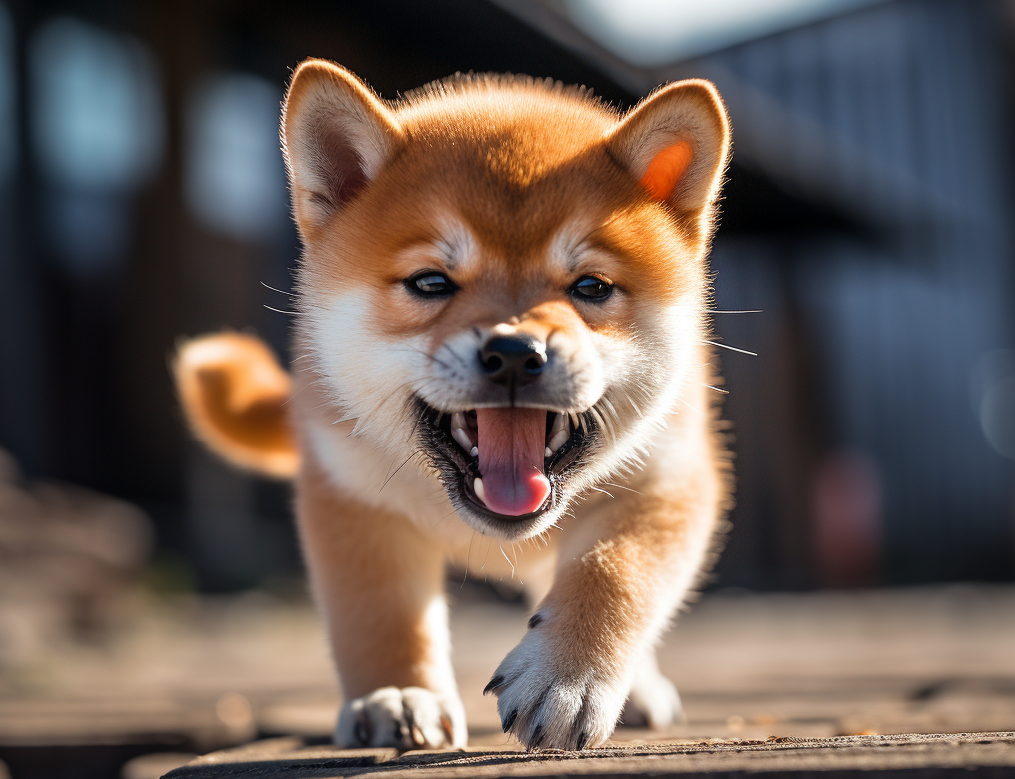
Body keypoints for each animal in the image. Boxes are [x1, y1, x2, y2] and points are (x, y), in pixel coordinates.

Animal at [174, 57, 730, 751]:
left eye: (591, 287)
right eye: (431, 282)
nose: (515, 353)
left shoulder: (663, 477)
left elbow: (616, 572)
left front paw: (568, 676)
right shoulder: (352, 497)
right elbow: (380, 615)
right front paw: (396, 693)